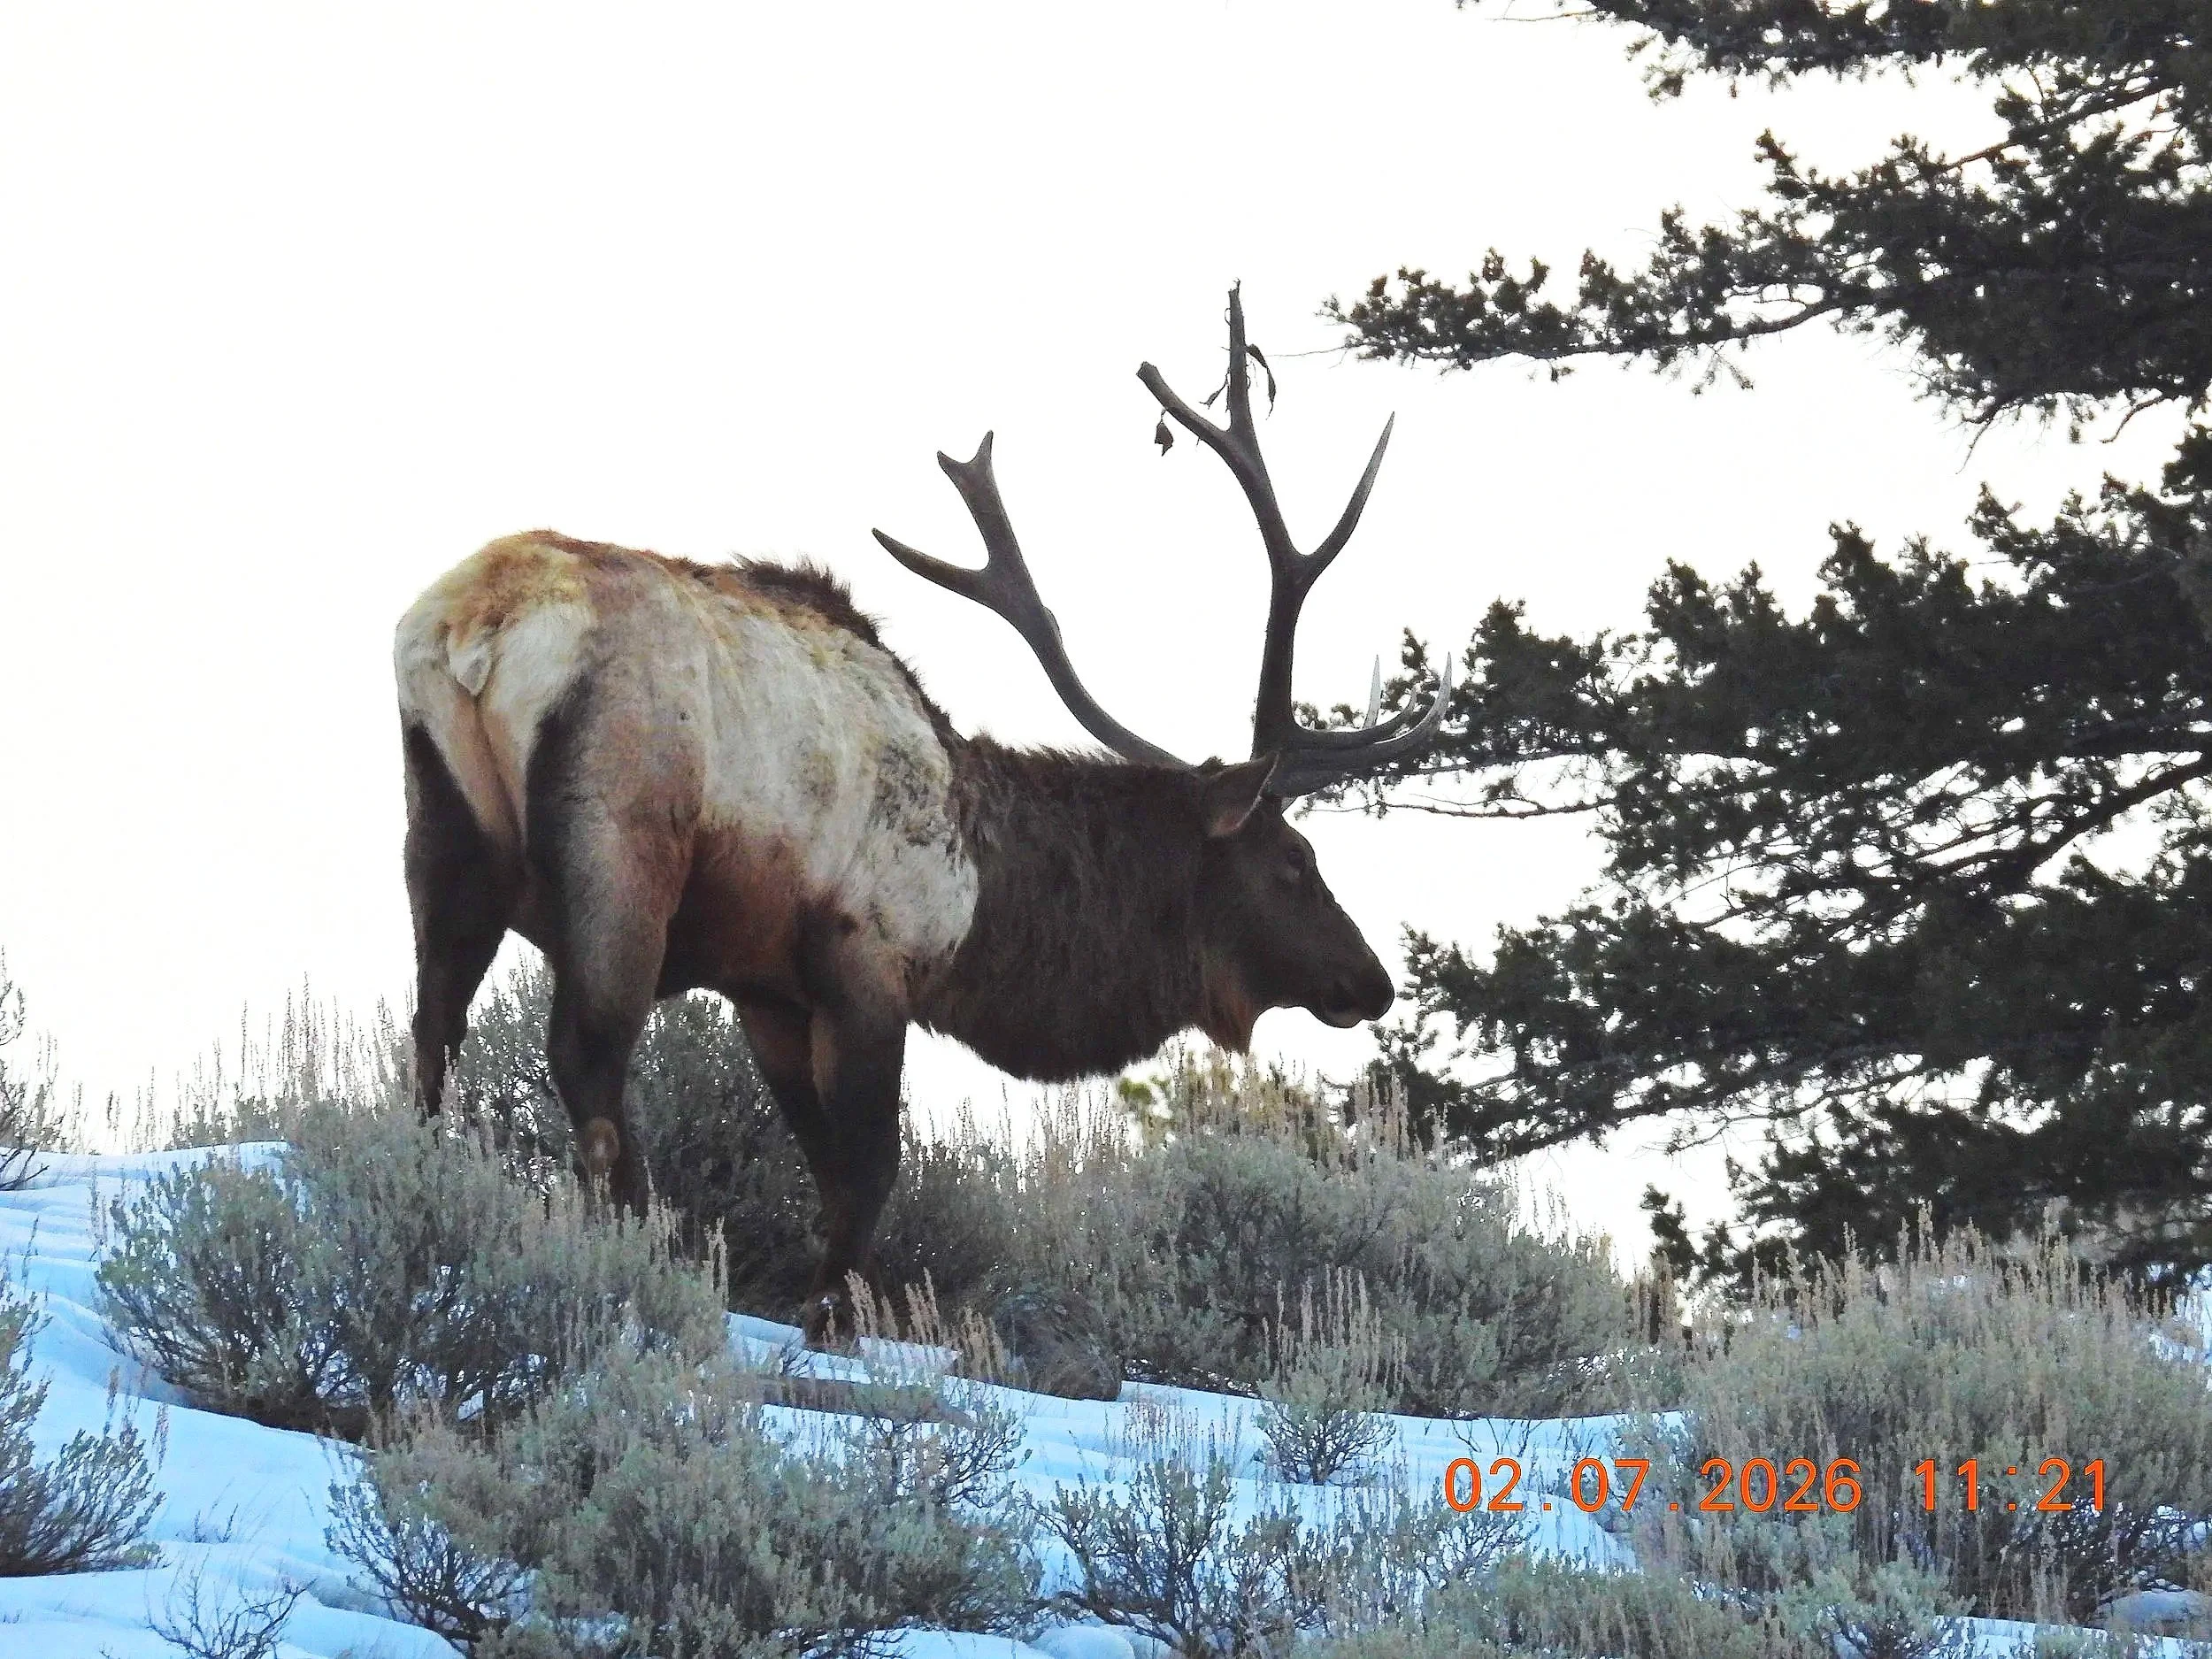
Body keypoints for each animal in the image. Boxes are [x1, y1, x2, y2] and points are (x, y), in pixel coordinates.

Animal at [393, 286, 1451, 1340]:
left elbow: (827, 1167)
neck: (987, 899)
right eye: (1294, 860)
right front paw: (833, 1313)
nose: (1372, 980)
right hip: (620, 842)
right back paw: (641, 1260)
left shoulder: (768, 987)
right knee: (587, 1059)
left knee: (432, 1031)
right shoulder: (870, 954)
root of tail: (477, 622)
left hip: (441, 827)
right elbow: (871, 1168)